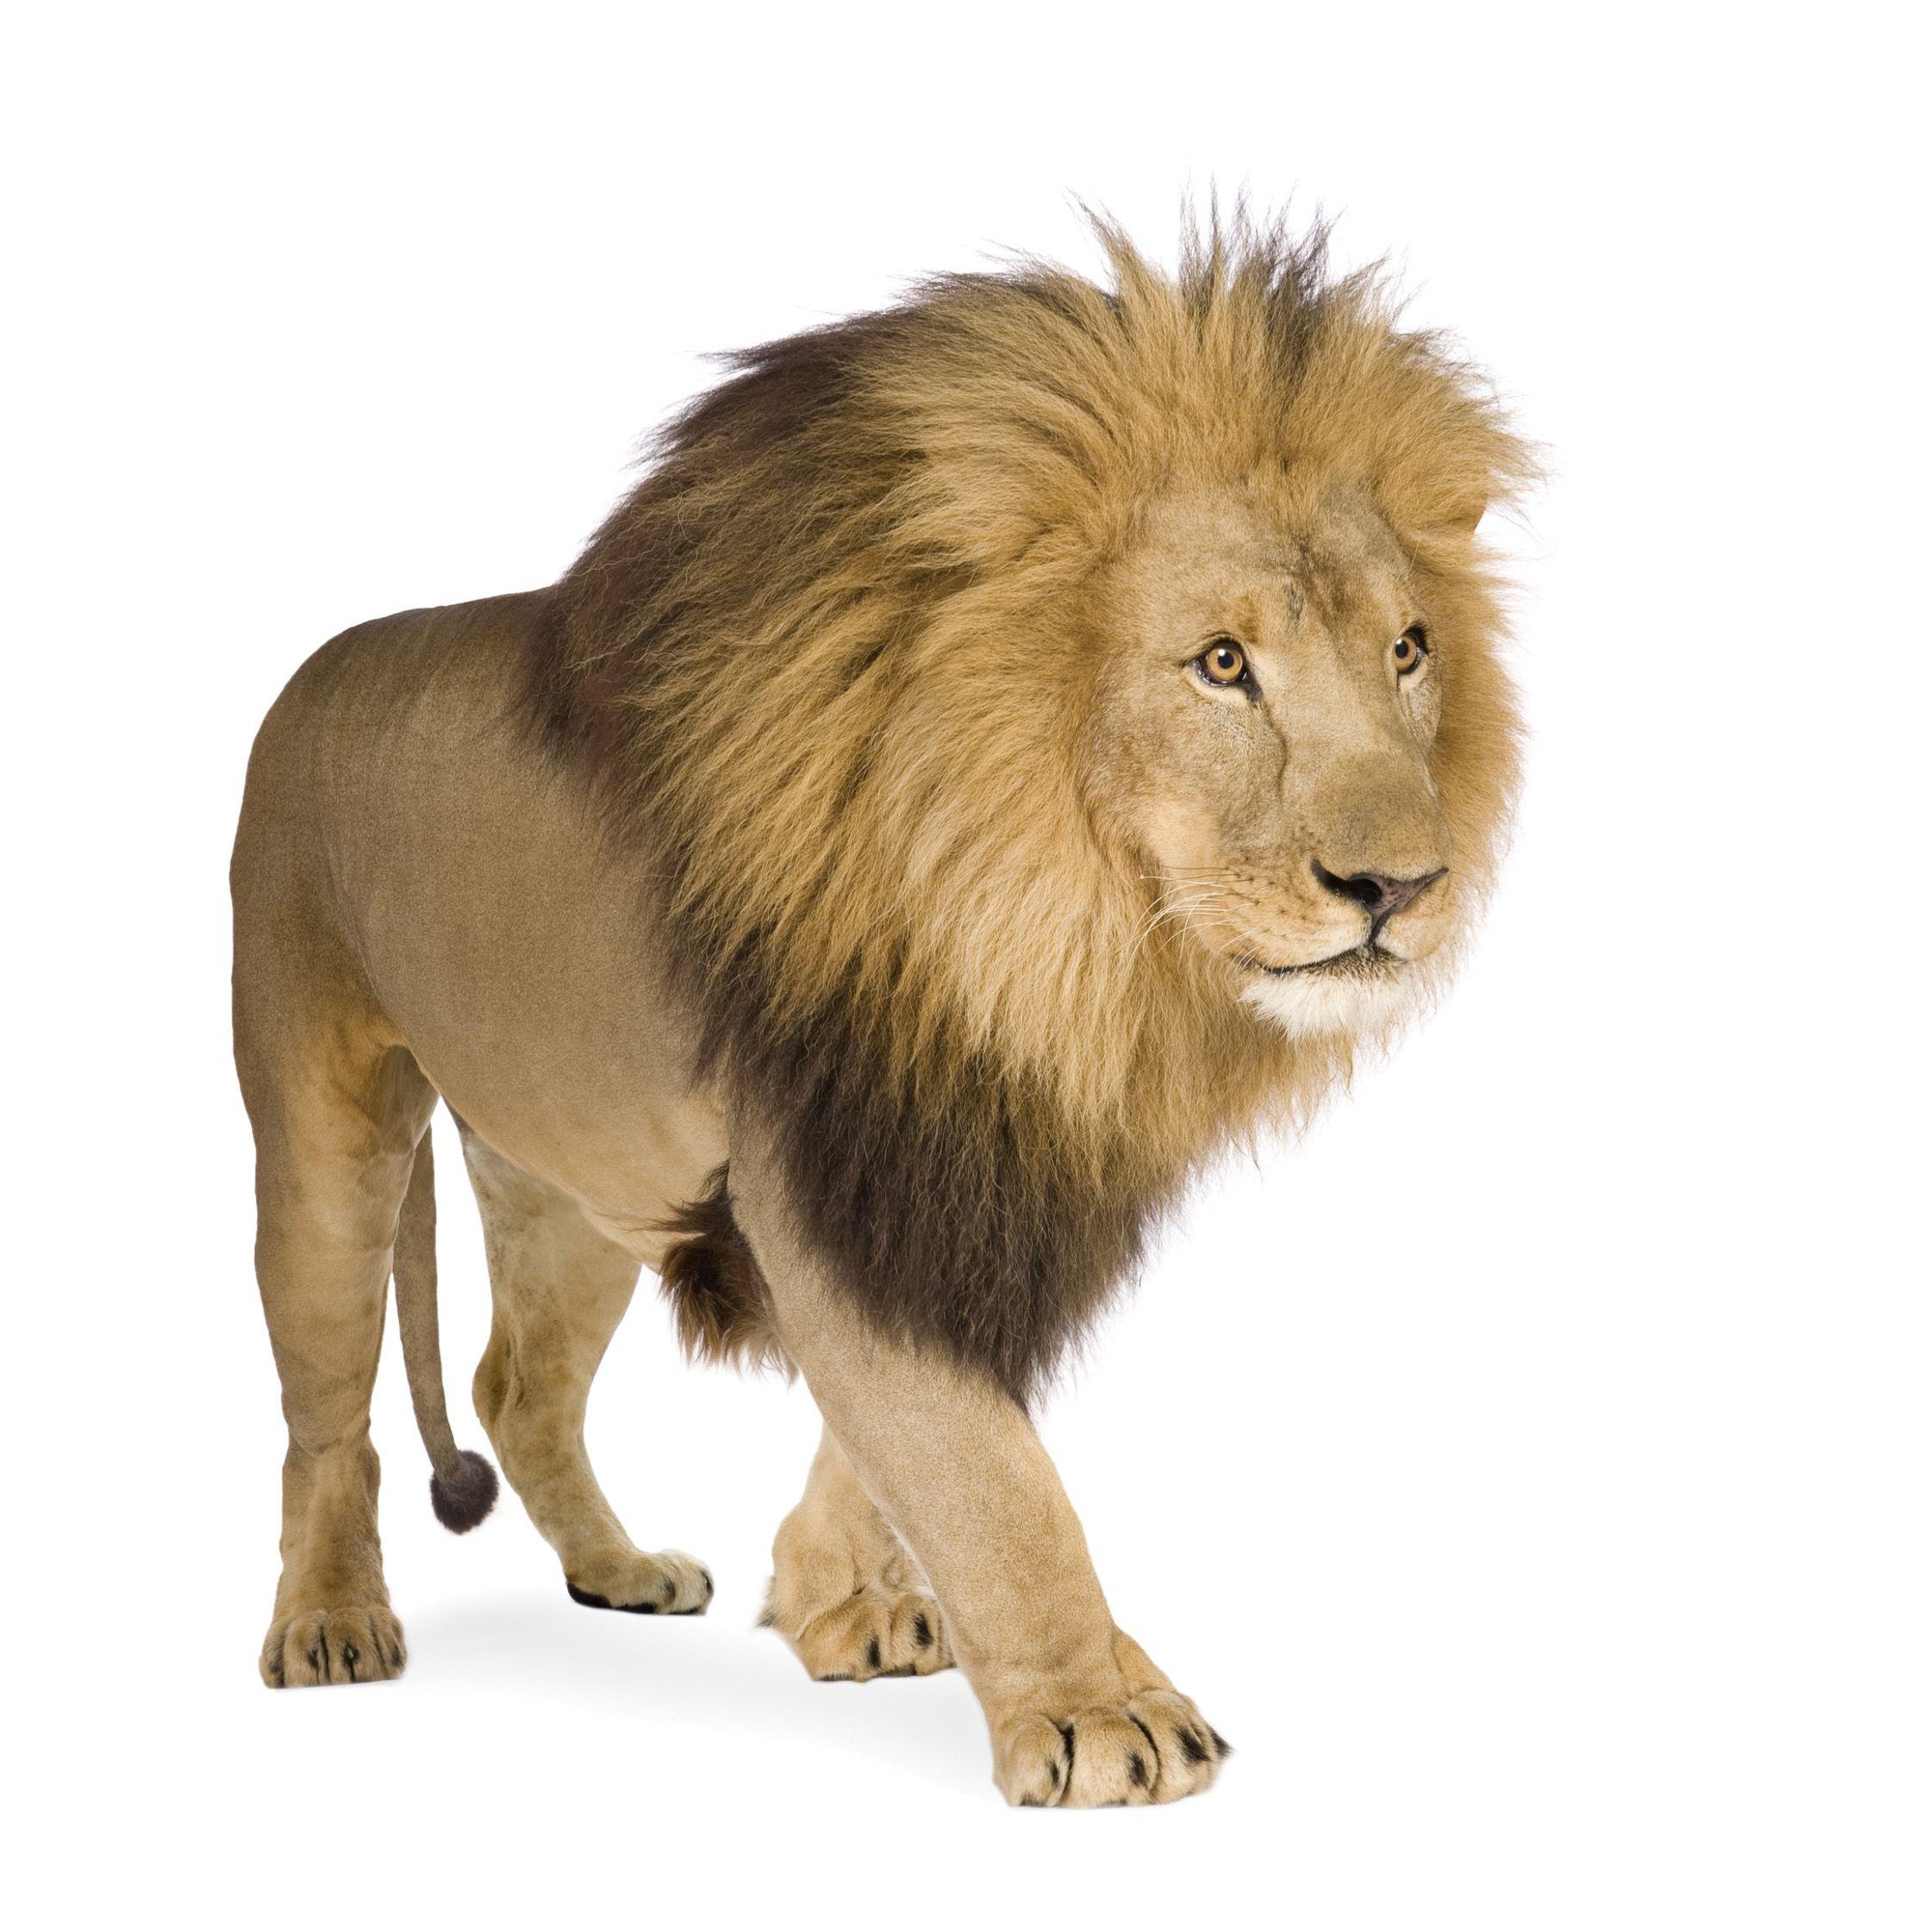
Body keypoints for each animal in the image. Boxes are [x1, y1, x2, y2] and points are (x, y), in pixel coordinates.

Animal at [231, 211, 1530, 1807]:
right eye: (1223, 663)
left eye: (1409, 649)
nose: (1401, 887)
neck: (1057, 942)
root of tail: (311, 669)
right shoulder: (831, 1171)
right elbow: (988, 1474)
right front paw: (1101, 1711)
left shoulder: (976, 1176)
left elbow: (902, 1439)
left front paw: (840, 1599)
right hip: (322, 1132)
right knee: (323, 1417)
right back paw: (329, 1621)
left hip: (574, 1174)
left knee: (514, 1383)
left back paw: (617, 1570)